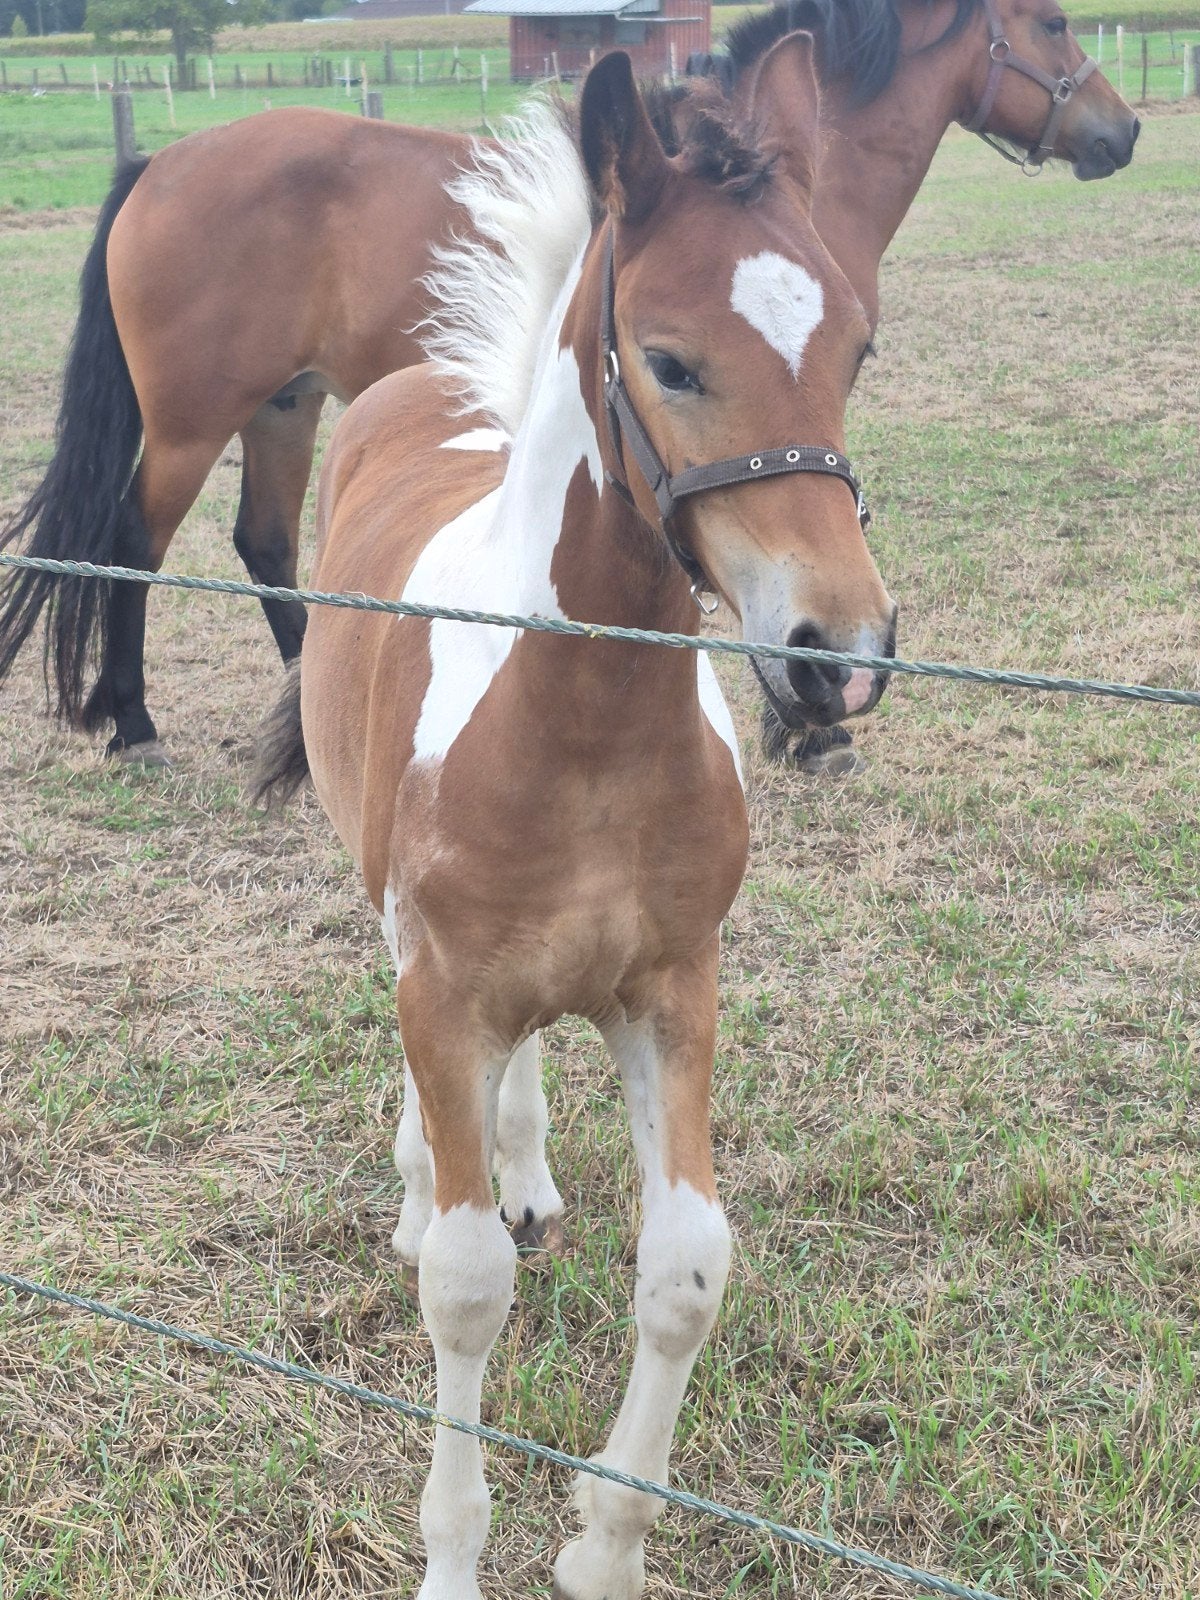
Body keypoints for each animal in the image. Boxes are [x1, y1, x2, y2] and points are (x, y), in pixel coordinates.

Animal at [0, 0, 1136, 771]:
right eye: (1053, 23)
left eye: (857, 353)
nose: (1120, 133)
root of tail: (158, 163)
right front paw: (802, 734)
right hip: (192, 424)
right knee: (133, 546)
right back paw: (136, 722)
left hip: (287, 405)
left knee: (266, 546)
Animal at [255, 41, 895, 1598]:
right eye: (669, 359)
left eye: (856, 349)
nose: (839, 654)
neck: (585, 725)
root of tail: (421, 384)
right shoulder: (444, 986)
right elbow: (464, 1284)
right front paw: (451, 1558)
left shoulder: (673, 985)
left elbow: (689, 1267)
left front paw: (606, 1548)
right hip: (391, 908)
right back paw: (430, 1178)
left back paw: (528, 1174)